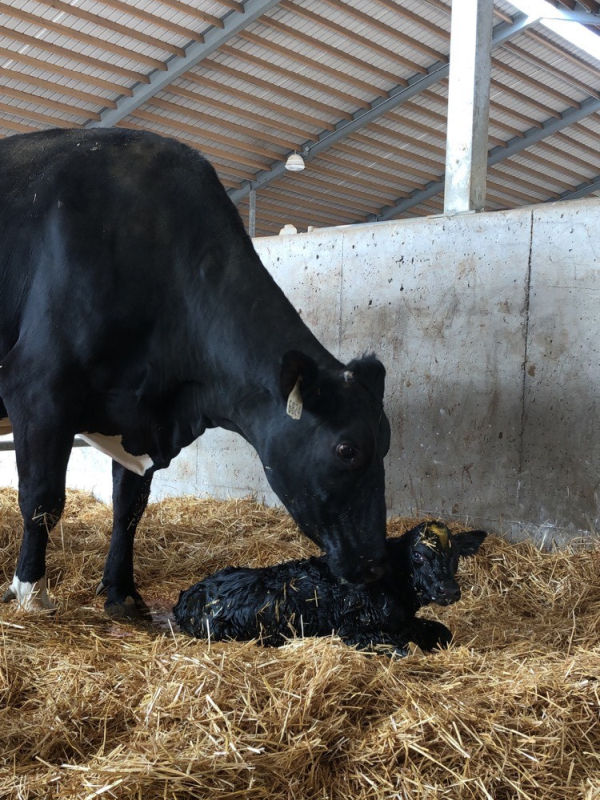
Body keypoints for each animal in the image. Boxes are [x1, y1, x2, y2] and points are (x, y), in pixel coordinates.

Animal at [0, 130, 392, 620]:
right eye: (347, 450)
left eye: (387, 443)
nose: (376, 564)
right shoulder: (37, 391)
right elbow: (41, 499)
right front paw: (30, 592)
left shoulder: (138, 415)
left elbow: (129, 507)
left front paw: (121, 592)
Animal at [173, 520, 488, 656]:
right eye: (419, 555)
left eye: (456, 555)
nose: (449, 590)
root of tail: (186, 597)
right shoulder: (353, 631)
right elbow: (404, 649)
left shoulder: (403, 622)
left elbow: (442, 632)